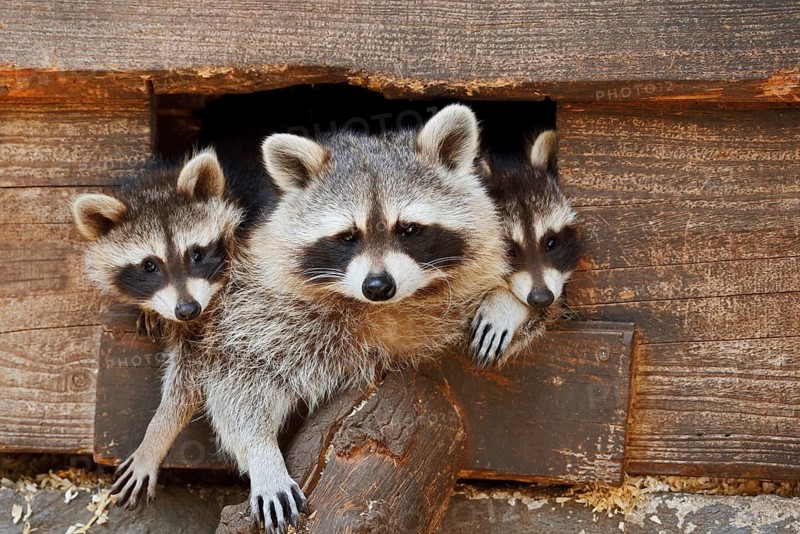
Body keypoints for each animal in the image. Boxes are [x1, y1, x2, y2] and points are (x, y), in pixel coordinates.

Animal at [200, 104, 507, 533]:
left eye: (409, 230)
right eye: (347, 237)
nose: (378, 285)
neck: (380, 308)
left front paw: (508, 303)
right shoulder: (261, 298)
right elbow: (241, 375)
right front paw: (263, 455)